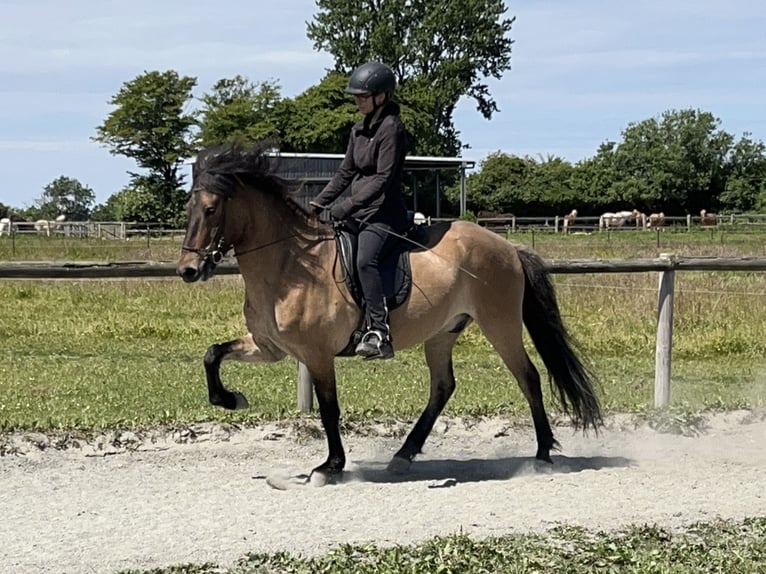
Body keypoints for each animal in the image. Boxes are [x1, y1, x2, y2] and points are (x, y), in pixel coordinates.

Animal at [176, 141, 602, 484]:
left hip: (500, 324)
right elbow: (212, 354)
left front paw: (330, 467)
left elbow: (329, 408)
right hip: (443, 332)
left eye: (211, 209)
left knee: (528, 377)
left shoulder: (316, 354)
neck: (291, 264)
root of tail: (508, 246)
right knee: (443, 386)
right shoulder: (269, 347)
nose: (188, 270)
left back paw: (542, 455)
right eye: (188, 208)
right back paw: (403, 455)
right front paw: (231, 399)